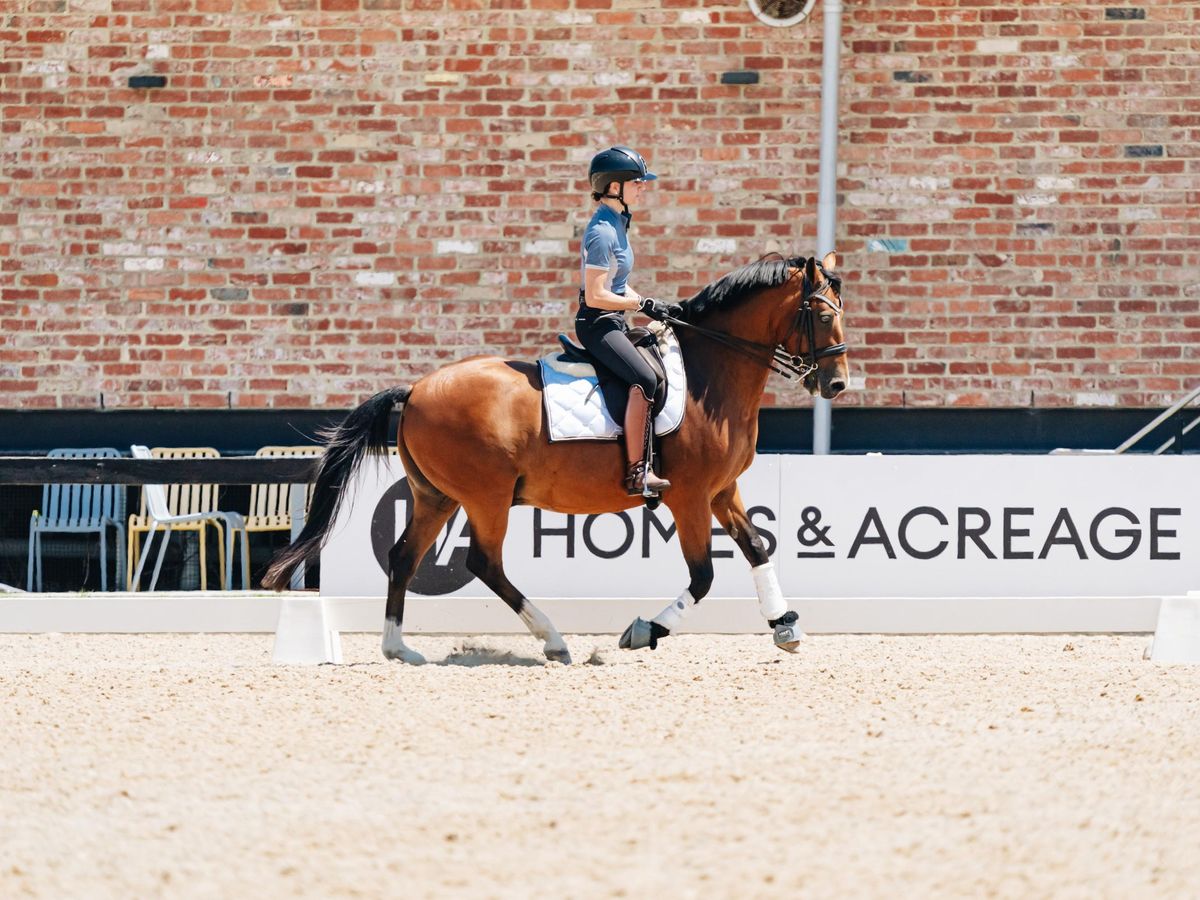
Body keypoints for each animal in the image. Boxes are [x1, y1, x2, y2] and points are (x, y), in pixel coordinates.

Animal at [262, 251, 848, 664]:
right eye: (821, 315)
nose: (837, 384)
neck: (712, 375)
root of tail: (418, 388)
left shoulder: (722, 490)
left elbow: (756, 547)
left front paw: (786, 626)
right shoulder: (689, 497)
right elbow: (703, 575)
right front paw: (643, 631)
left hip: (437, 496)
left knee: (404, 556)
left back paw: (398, 648)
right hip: (487, 496)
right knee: (484, 563)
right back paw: (553, 640)